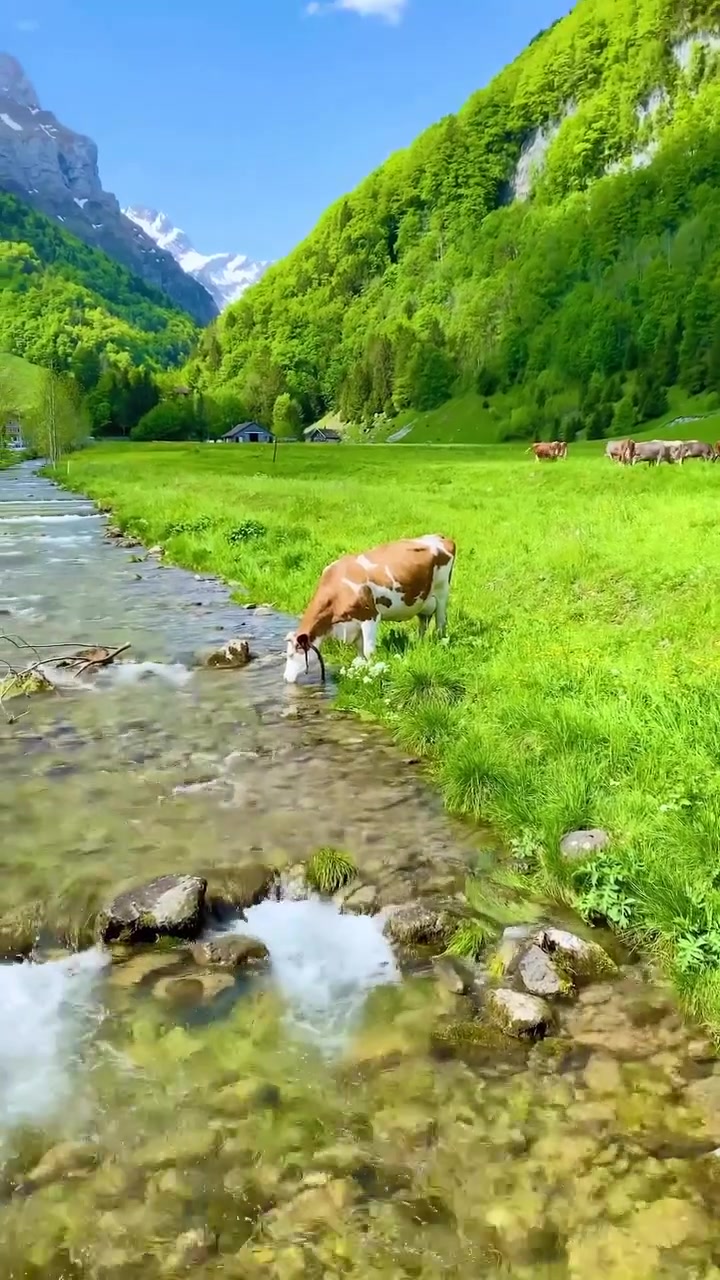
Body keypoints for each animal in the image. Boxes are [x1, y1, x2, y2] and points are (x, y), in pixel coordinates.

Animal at [283, 534, 456, 684]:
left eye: (291, 655)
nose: (285, 678)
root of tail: (439, 537)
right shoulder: (354, 622)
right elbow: (360, 651)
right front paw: (361, 670)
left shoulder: (369, 616)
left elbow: (368, 650)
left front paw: (373, 674)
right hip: (423, 602)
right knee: (423, 623)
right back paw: (420, 644)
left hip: (442, 593)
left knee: (441, 624)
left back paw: (441, 644)